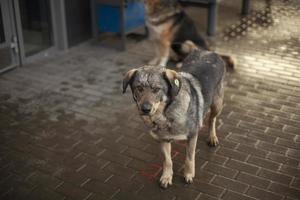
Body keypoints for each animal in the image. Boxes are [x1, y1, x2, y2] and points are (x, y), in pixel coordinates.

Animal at [122, 49, 225, 188]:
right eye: (139, 88)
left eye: (156, 89)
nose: (145, 109)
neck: (165, 115)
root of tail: (209, 51)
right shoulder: (163, 140)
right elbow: (167, 161)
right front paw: (166, 176)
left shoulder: (192, 136)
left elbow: (189, 158)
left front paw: (188, 174)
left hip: (217, 105)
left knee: (212, 119)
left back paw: (212, 137)